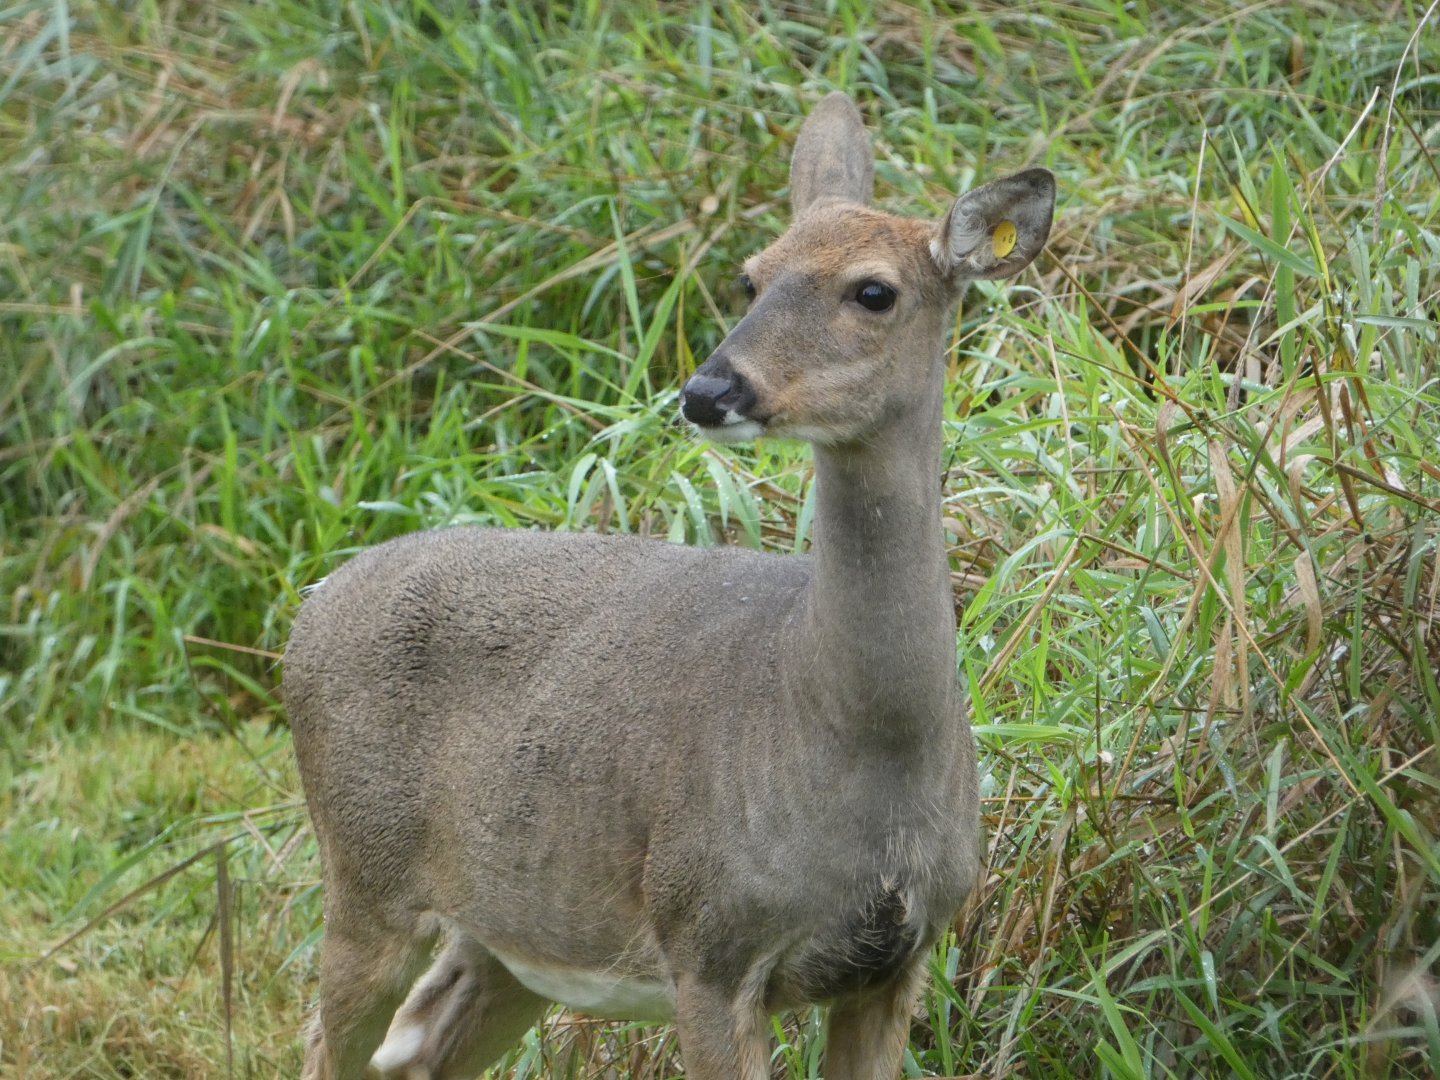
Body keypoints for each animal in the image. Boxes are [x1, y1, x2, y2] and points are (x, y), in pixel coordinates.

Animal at [284, 91, 1054, 1080]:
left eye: (874, 291)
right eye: (751, 277)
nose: (709, 390)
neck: (851, 738)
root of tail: (309, 608)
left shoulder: (898, 959)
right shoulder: (708, 940)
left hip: (514, 933)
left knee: (420, 1044)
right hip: (364, 868)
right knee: (330, 1037)